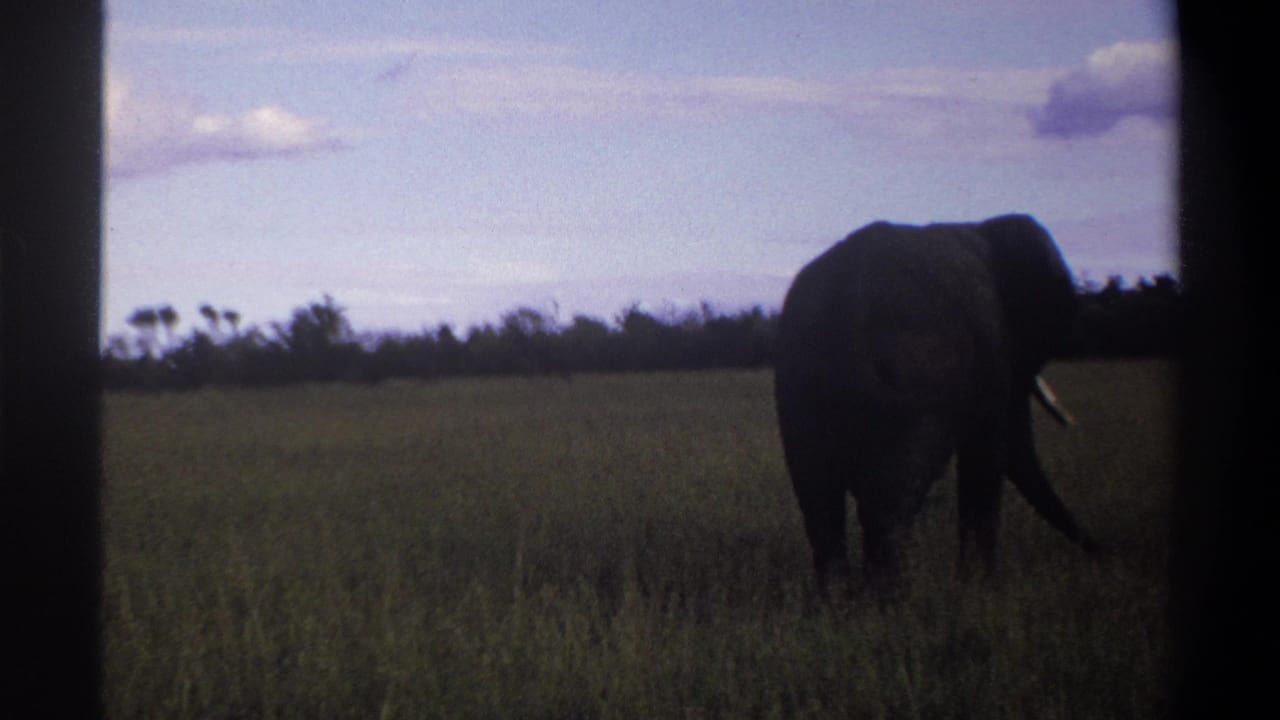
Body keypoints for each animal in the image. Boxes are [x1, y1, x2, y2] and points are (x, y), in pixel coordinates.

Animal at [773, 214, 1100, 594]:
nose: (1101, 552)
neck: (983, 227)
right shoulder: (992, 346)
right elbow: (988, 453)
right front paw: (979, 588)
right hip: (907, 387)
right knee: (888, 502)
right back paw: (892, 599)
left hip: (797, 389)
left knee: (819, 501)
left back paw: (839, 600)